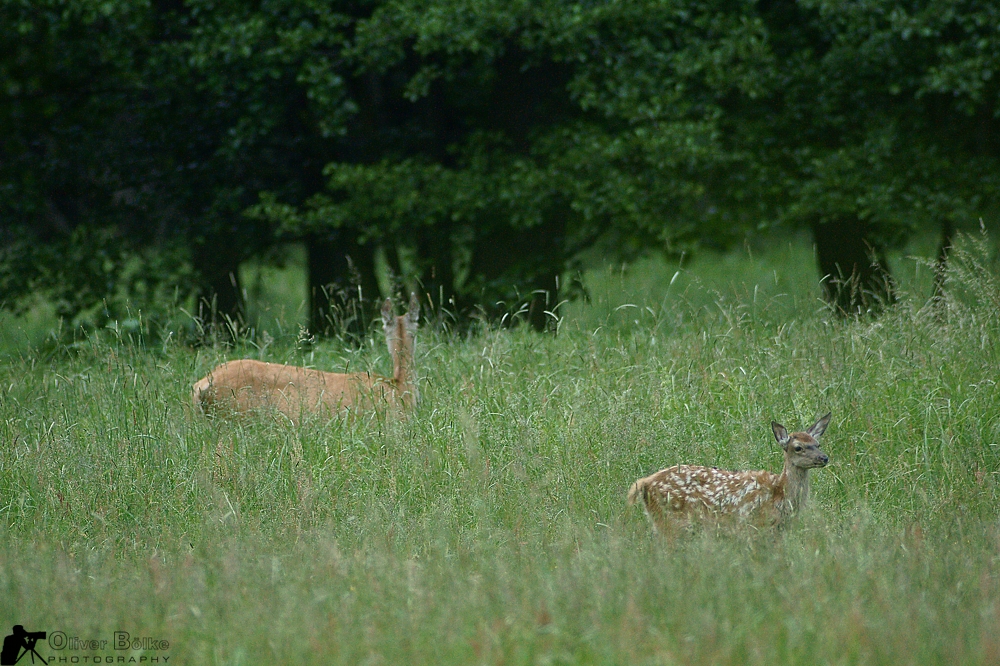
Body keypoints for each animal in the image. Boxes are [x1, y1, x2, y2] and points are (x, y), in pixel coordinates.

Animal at [628, 412, 832, 532]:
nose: (824, 458)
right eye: (798, 447)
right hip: (669, 521)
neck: (780, 494)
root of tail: (645, 482)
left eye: (818, 444)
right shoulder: (754, 524)